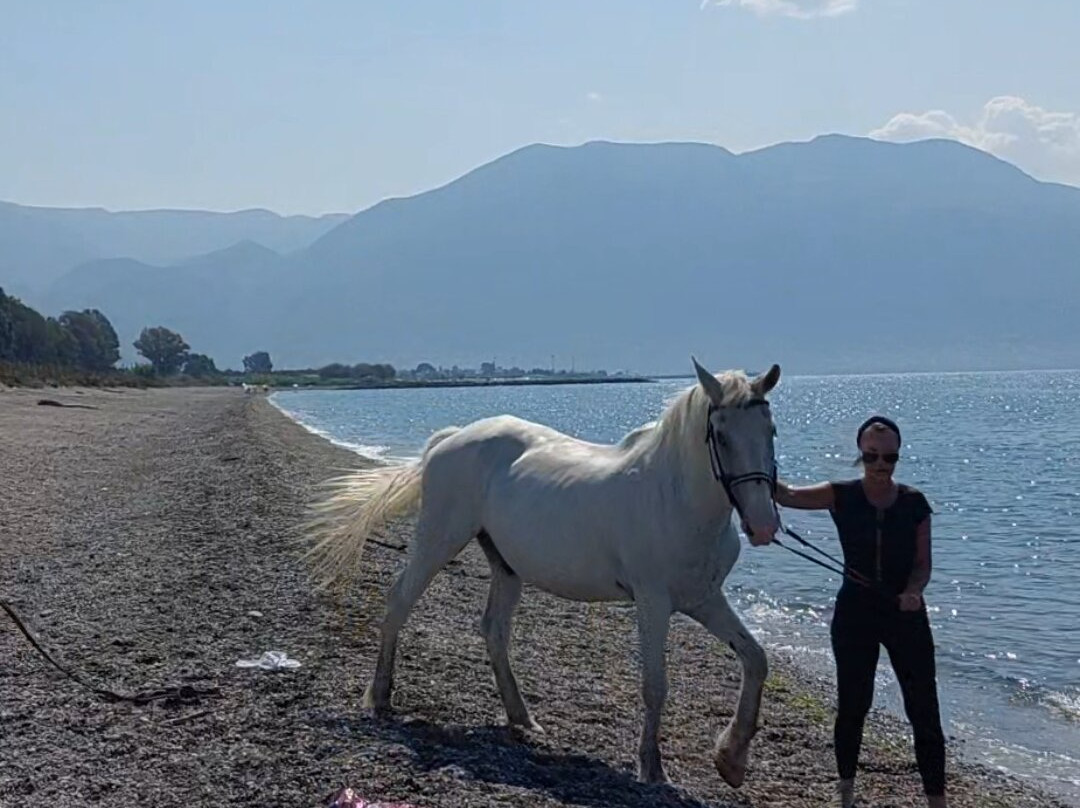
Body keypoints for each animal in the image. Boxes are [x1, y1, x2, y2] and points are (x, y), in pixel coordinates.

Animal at [303, 358, 782, 787]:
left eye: (771, 431)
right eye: (721, 435)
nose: (763, 525)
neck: (675, 498)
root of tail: (451, 437)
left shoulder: (704, 599)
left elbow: (755, 659)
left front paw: (732, 760)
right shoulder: (653, 601)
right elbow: (655, 684)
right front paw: (652, 768)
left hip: (505, 565)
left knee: (494, 630)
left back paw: (521, 717)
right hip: (438, 539)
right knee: (400, 600)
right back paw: (381, 697)